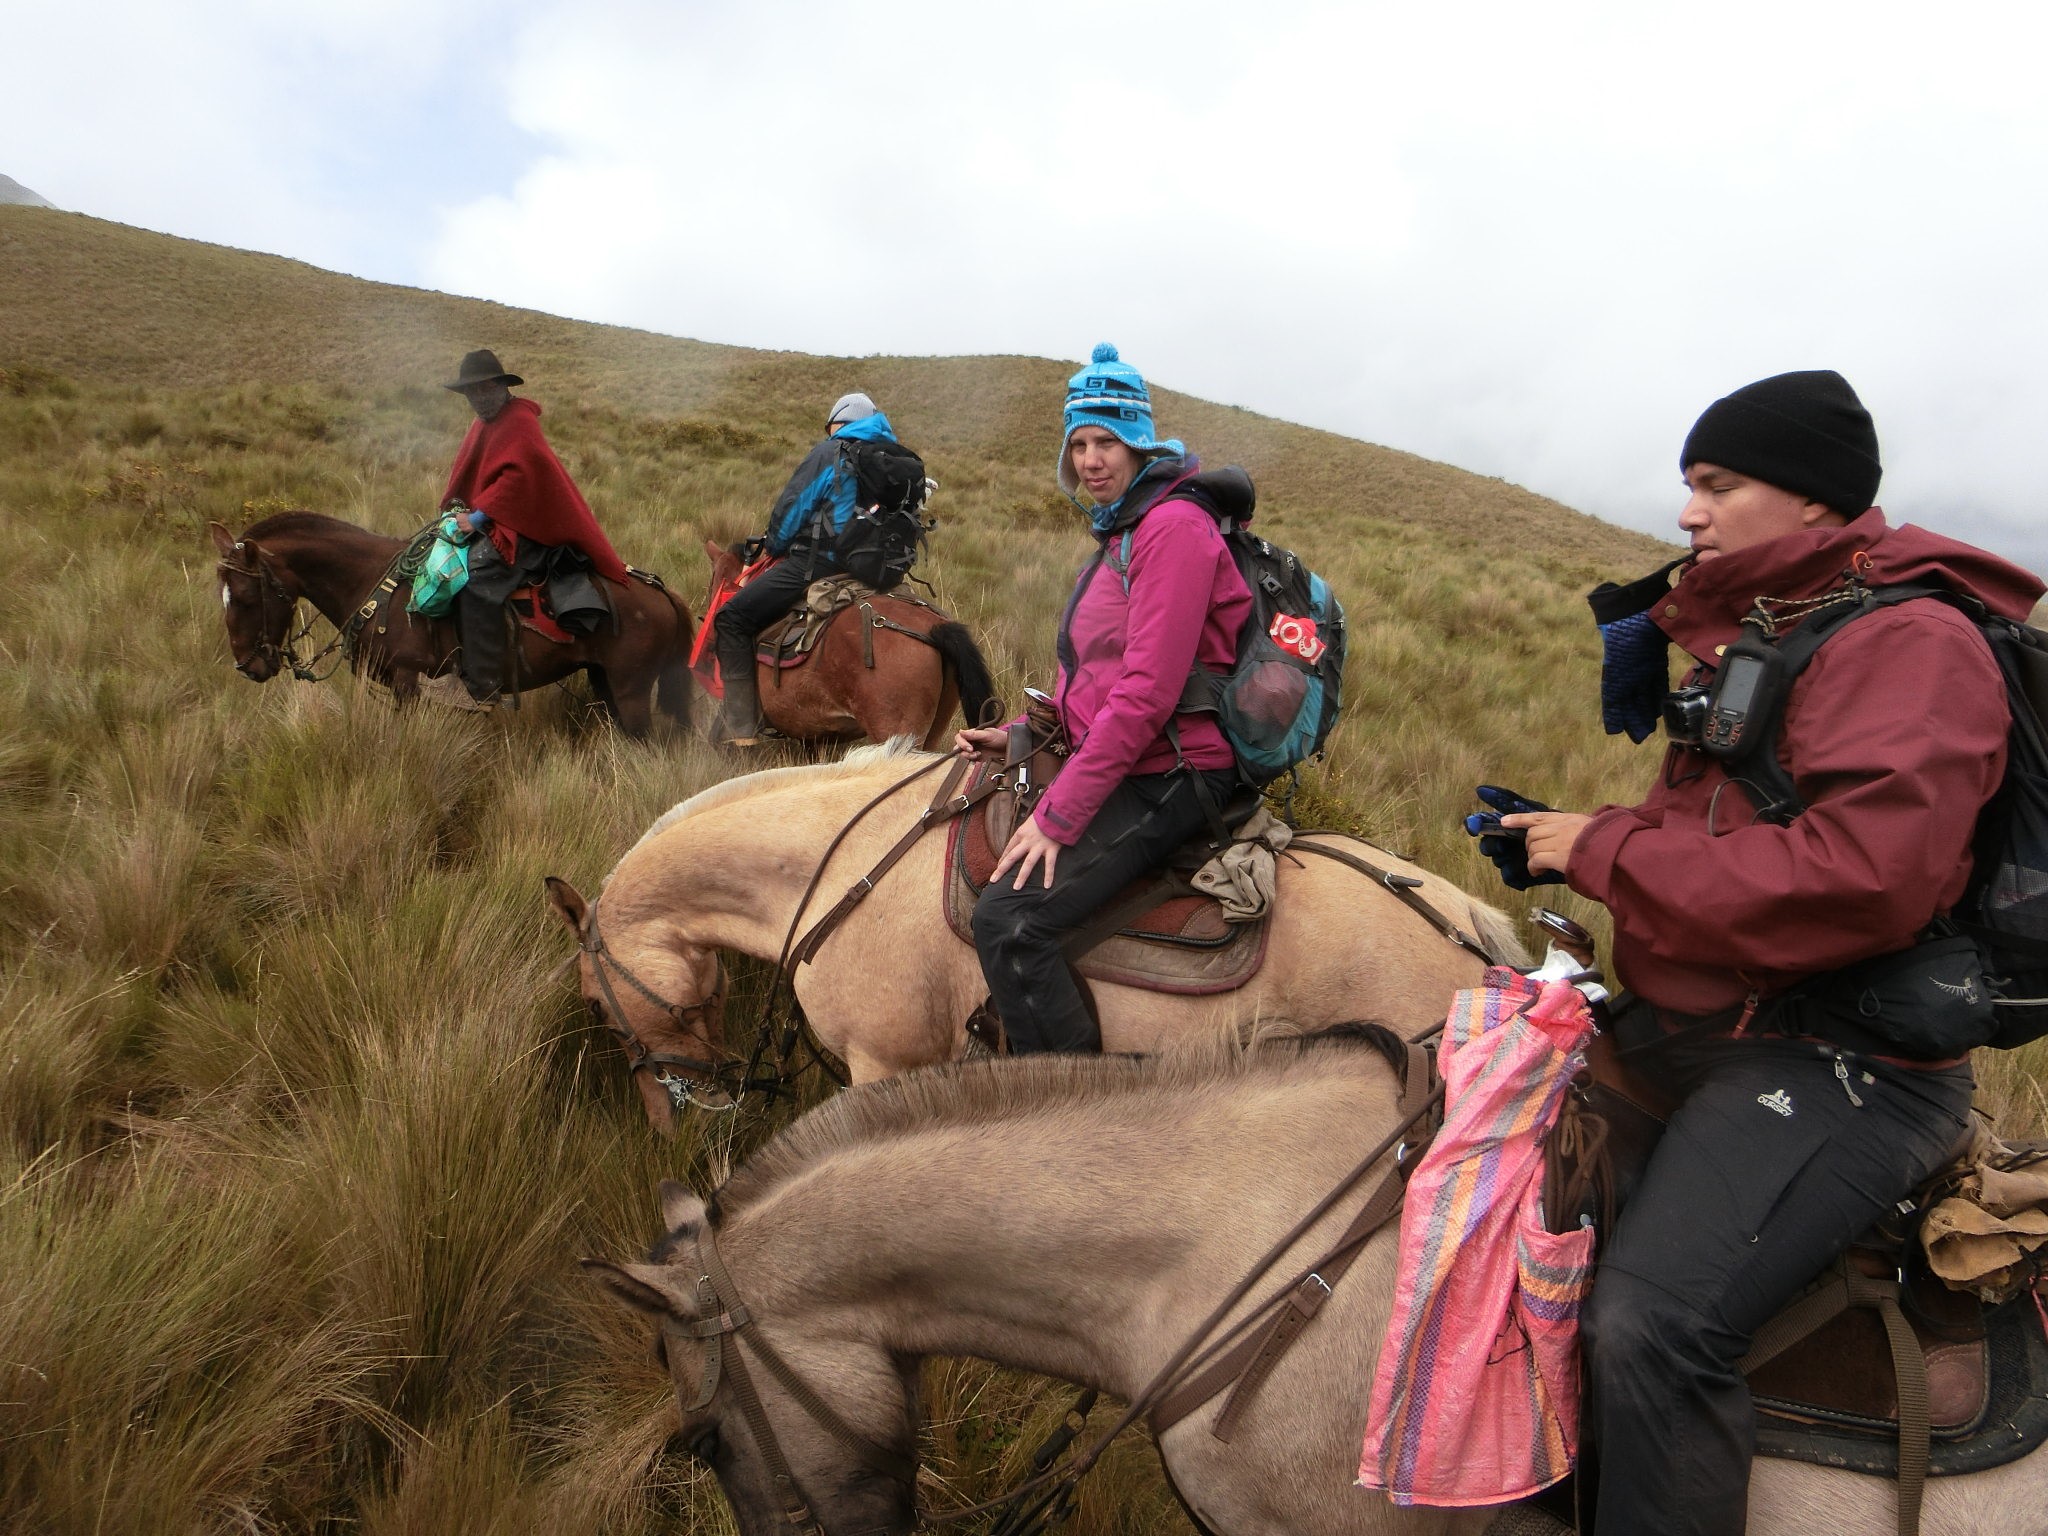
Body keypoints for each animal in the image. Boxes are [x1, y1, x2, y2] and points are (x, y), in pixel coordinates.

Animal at [209, 512, 696, 741]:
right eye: (223, 597)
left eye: (248, 598)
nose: (248, 667)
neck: (373, 583)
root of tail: (660, 591)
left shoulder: (408, 683)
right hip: (604, 682)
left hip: (632, 691)